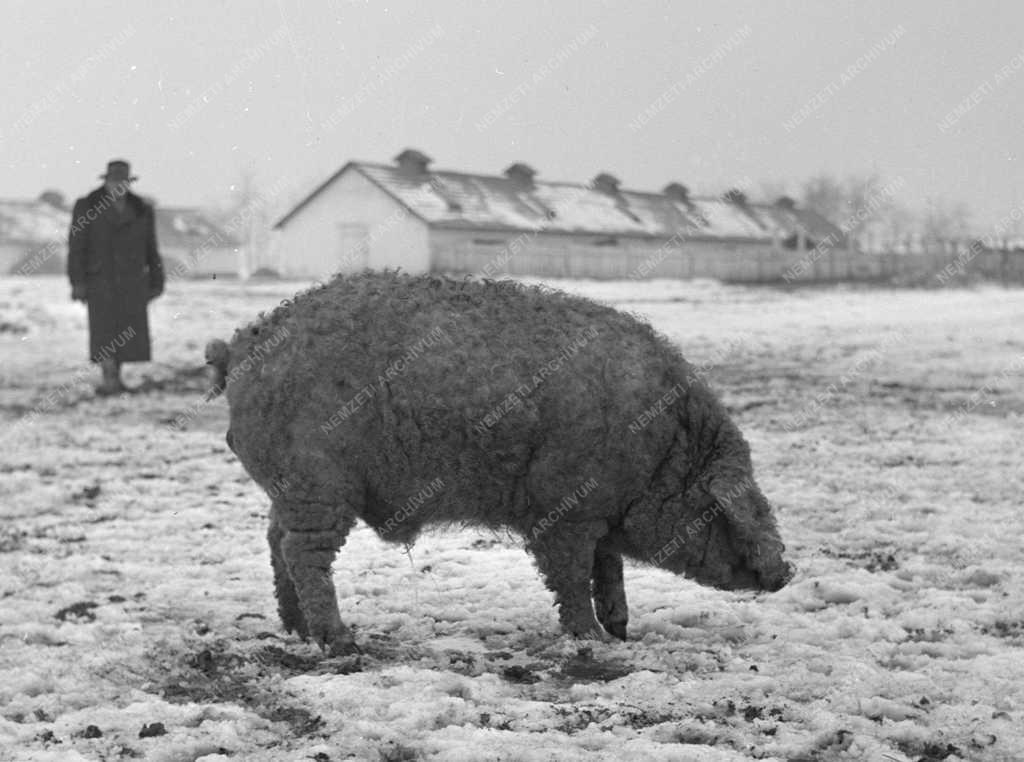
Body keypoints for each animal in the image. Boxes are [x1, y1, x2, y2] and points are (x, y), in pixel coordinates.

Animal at [207, 270, 794, 651]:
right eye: (726, 507)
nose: (786, 570)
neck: (662, 450)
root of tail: (238, 348)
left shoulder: (599, 516)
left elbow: (609, 570)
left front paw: (622, 630)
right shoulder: (564, 510)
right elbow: (572, 576)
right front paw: (594, 640)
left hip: (290, 488)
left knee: (275, 543)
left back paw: (296, 631)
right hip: (316, 484)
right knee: (303, 553)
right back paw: (340, 642)